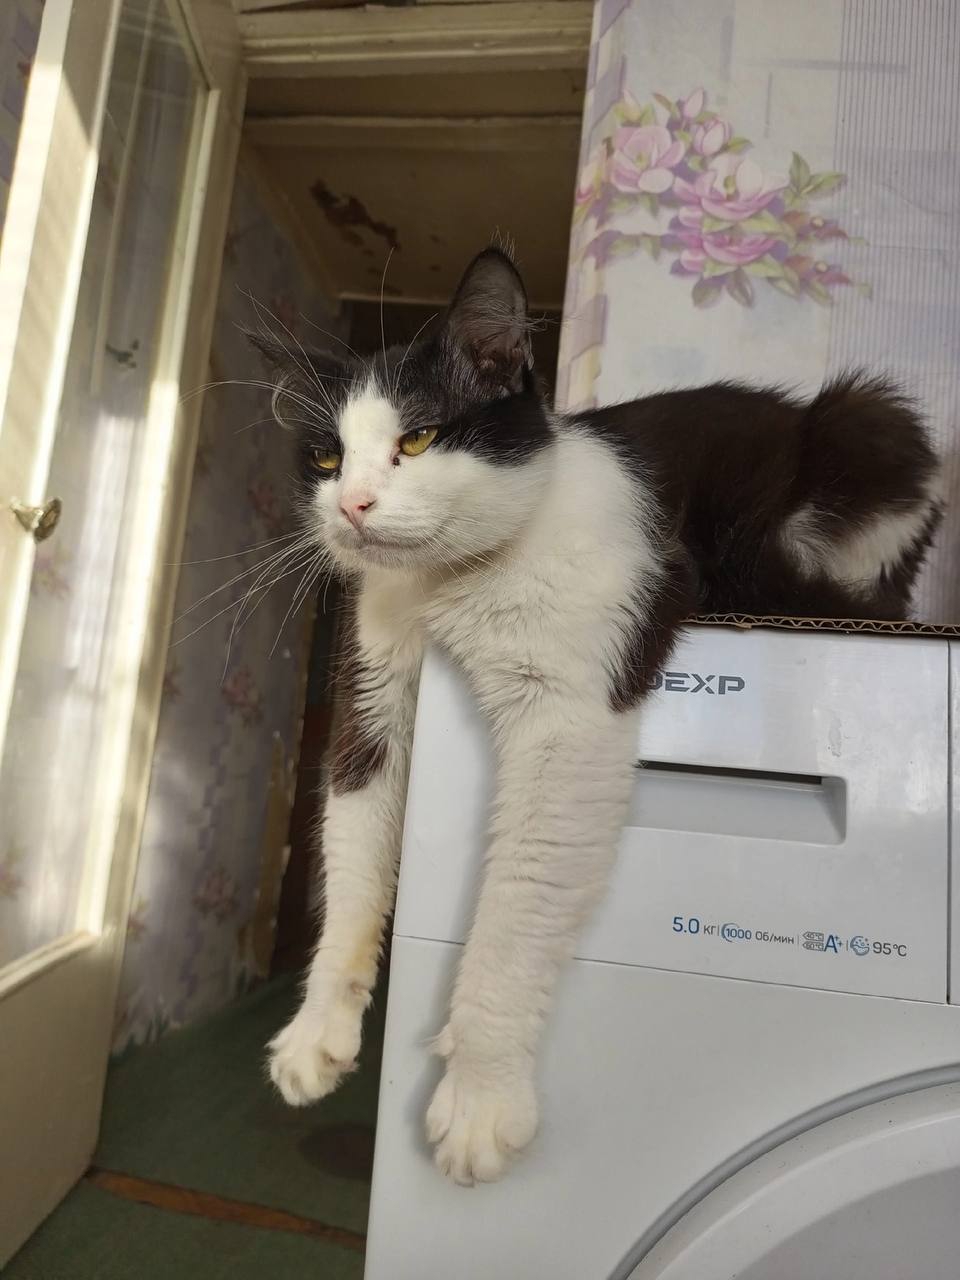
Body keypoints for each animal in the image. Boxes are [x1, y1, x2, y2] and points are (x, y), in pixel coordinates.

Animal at [254, 247, 941, 1185]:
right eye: (326, 457)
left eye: (419, 438)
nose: (352, 506)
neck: (456, 581)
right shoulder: (376, 678)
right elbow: (353, 848)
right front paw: (317, 1030)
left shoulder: (572, 712)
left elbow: (518, 908)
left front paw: (480, 1093)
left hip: (870, 424)